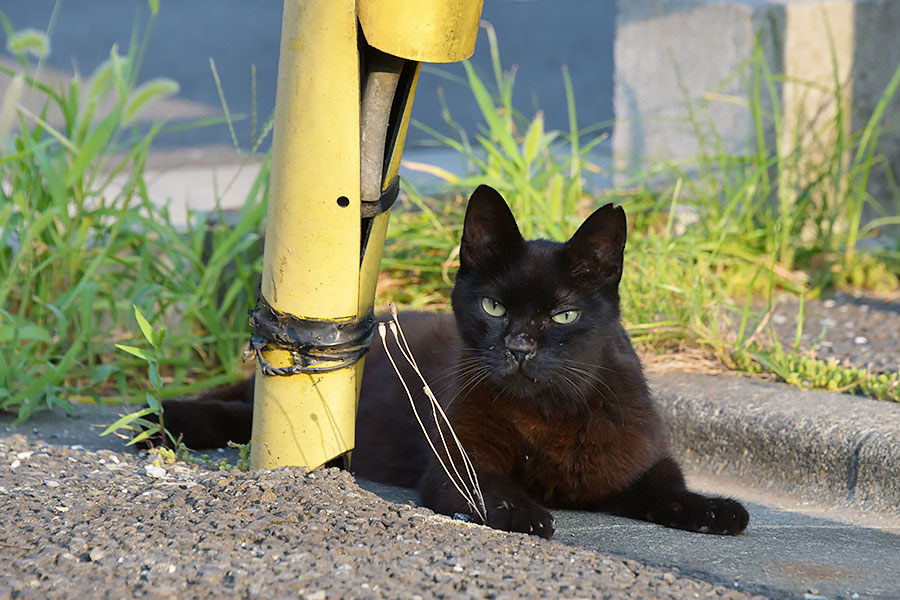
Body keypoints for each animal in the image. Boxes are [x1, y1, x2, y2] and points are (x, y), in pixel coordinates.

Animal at [156, 184, 752, 540]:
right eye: (494, 307)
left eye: (563, 315)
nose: (518, 348)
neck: (546, 417)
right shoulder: (457, 465)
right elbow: (492, 489)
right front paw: (522, 511)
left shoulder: (634, 459)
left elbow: (665, 486)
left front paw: (712, 509)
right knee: (240, 411)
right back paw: (163, 419)